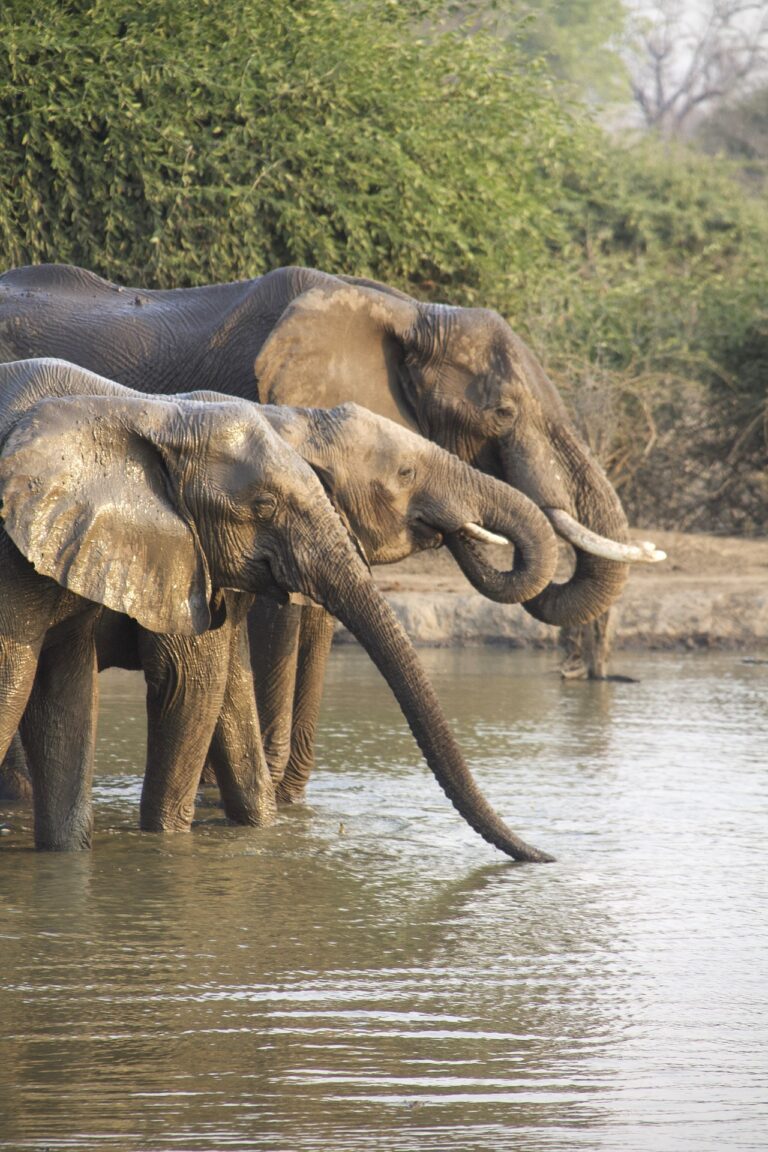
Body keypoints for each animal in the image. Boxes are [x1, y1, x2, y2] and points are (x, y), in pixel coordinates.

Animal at [0, 356, 555, 861]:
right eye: (405, 472)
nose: (548, 856)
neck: (152, 414)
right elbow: (189, 682)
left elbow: (224, 689)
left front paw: (264, 834)